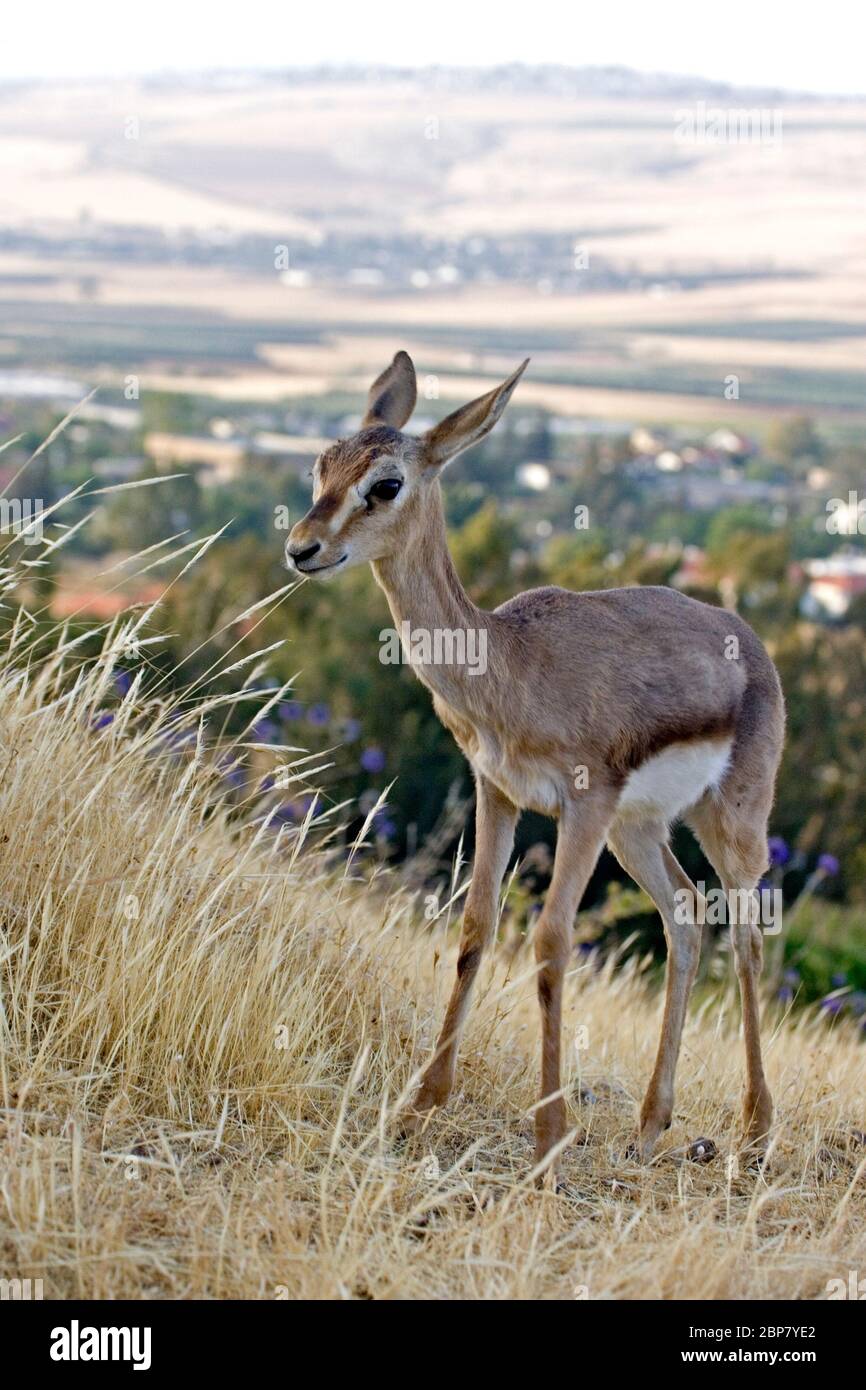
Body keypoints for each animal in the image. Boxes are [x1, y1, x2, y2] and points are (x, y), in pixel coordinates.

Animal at [286, 352, 785, 1176]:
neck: (510, 662)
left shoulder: (582, 805)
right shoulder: (498, 793)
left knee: (745, 934)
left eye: (385, 482)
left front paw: (549, 1136)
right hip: (638, 830)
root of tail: (749, 641)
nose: (302, 548)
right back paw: (649, 1127)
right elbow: (475, 927)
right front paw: (422, 1104)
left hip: (729, 825)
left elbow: (551, 942)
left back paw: (755, 1128)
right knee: (684, 915)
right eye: (321, 466)